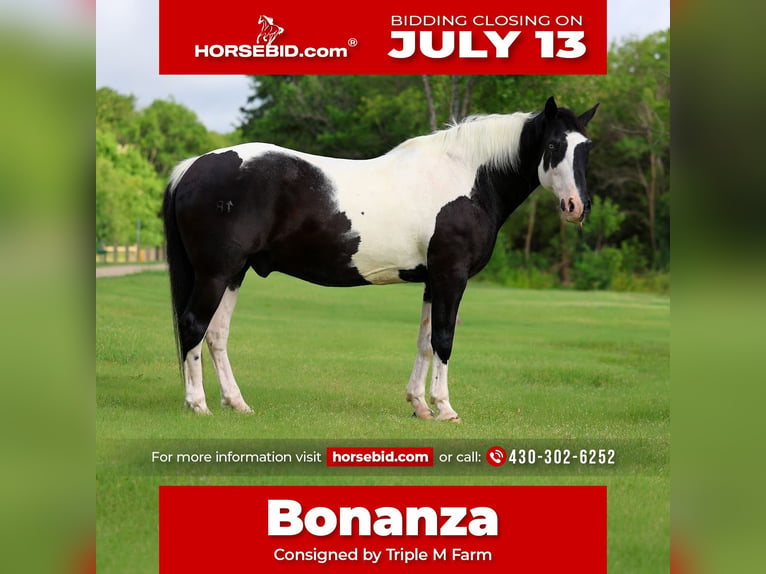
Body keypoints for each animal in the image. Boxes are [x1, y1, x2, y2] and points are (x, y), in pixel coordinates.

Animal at [162, 96, 598, 421]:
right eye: (554, 146)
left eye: (586, 150)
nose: (577, 207)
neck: (468, 178)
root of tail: (192, 167)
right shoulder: (451, 276)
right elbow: (444, 339)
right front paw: (445, 409)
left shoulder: (432, 279)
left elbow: (424, 341)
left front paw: (420, 406)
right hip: (215, 273)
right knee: (193, 324)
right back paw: (197, 404)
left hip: (234, 273)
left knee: (216, 333)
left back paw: (236, 403)